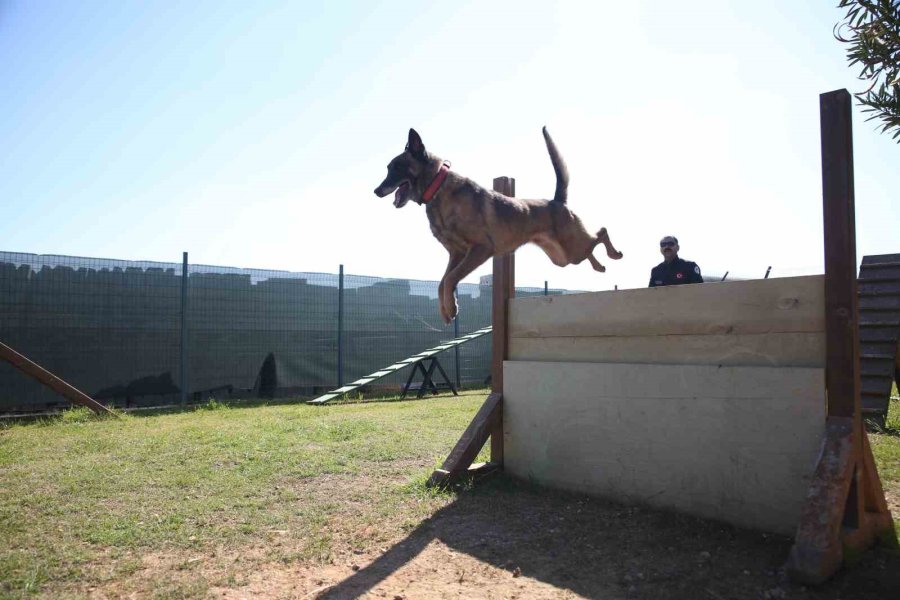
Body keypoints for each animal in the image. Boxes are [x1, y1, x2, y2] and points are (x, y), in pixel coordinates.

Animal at [372, 127, 620, 324]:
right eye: (388, 168)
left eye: (396, 167)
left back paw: (614, 254)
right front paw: (447, 309)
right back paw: (599, 265)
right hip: (563, 258)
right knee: (590, 246)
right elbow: (442, 283)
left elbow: (450, 279)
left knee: (601, 233)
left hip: (571, 250)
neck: (438, 188)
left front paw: (451, 307)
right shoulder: (456, 254)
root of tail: (557, 201)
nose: (376, 191)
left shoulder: (480, 249)